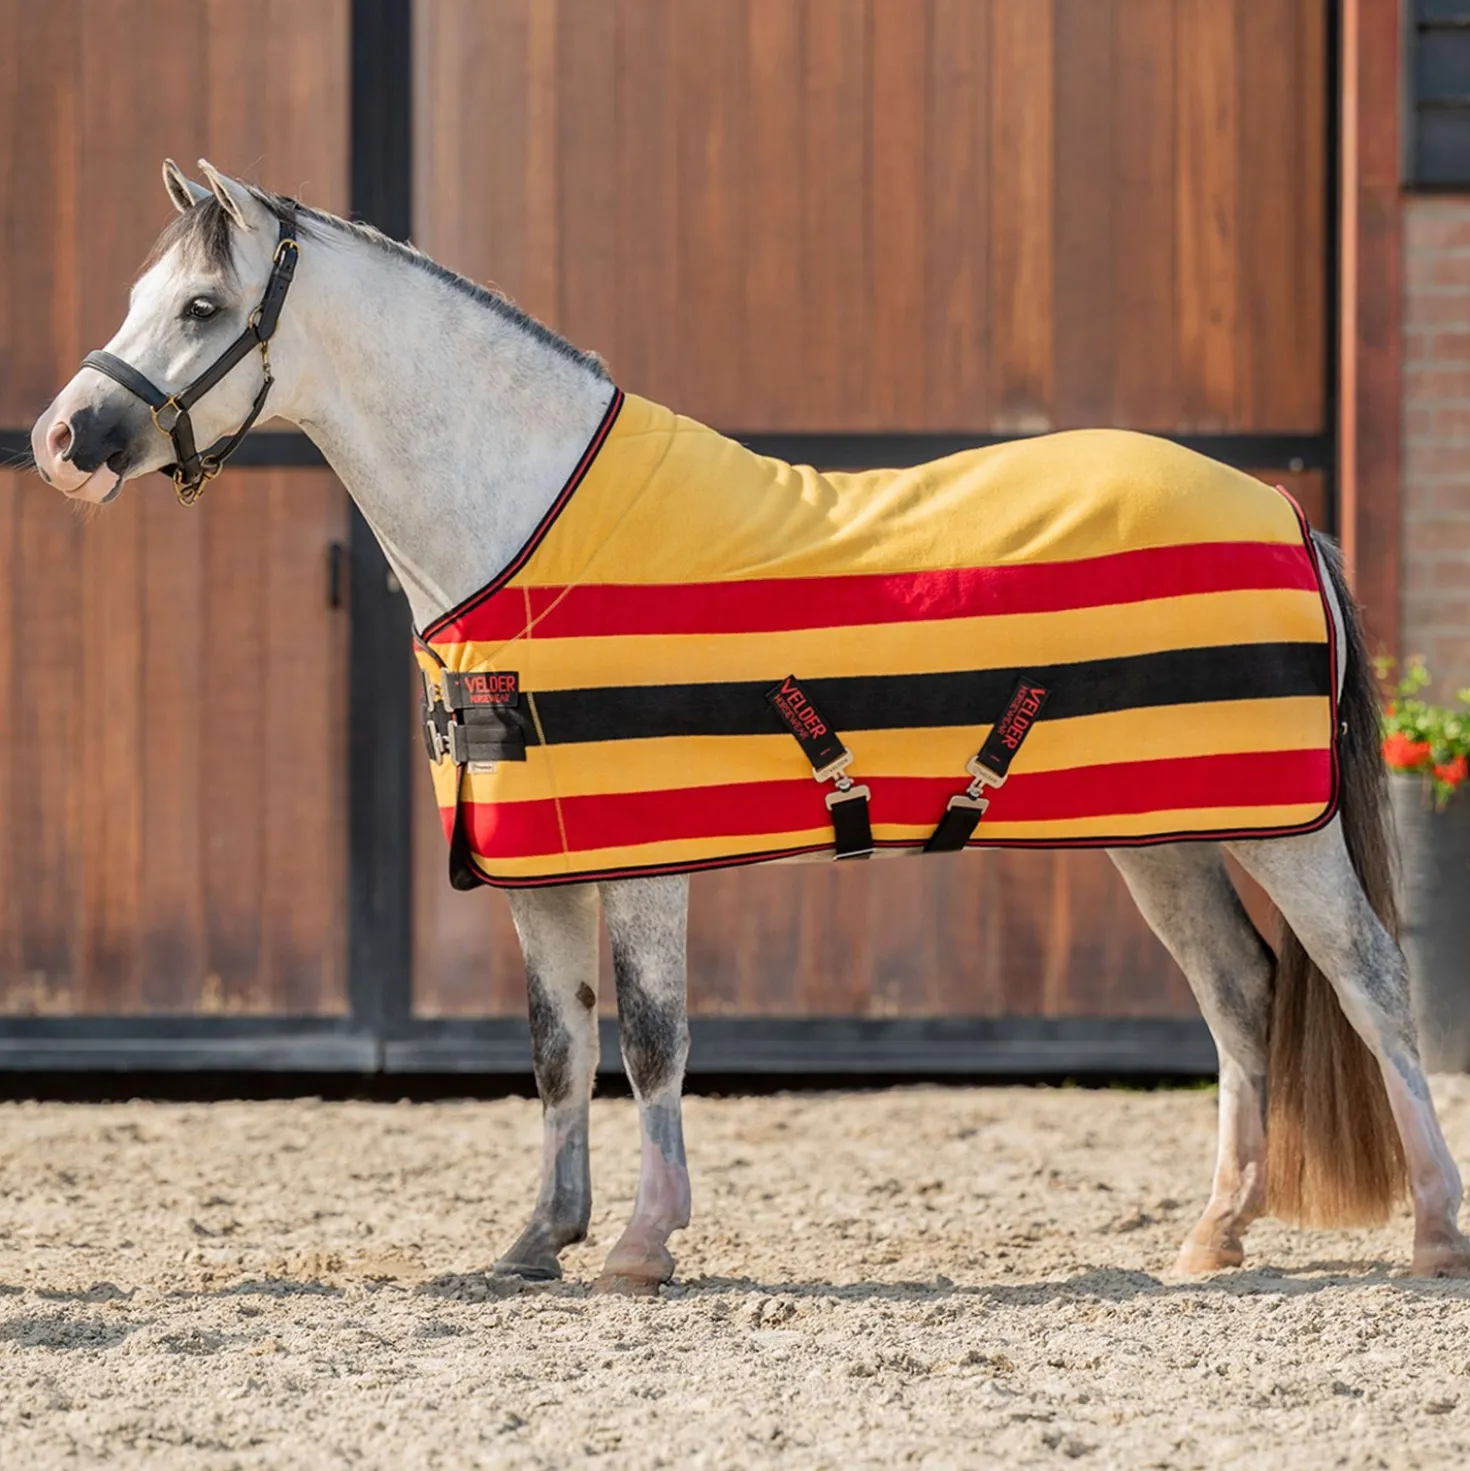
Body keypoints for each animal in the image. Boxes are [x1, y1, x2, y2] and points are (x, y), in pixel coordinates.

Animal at [29, 160, 1469, 1294]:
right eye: (140, 297)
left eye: (202, 307)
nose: (60, 439)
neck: (526, 527)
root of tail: (1286, 512)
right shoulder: (540, 862)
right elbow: (558, 1043)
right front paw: (535, 1241)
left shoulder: (647, 850)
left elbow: (650, 1035)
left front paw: (641, 1244)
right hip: (1160, 829)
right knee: (1239, 992)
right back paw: (1210, 1238)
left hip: (1279, 828)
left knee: (1365, 977)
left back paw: (1433, 1235)